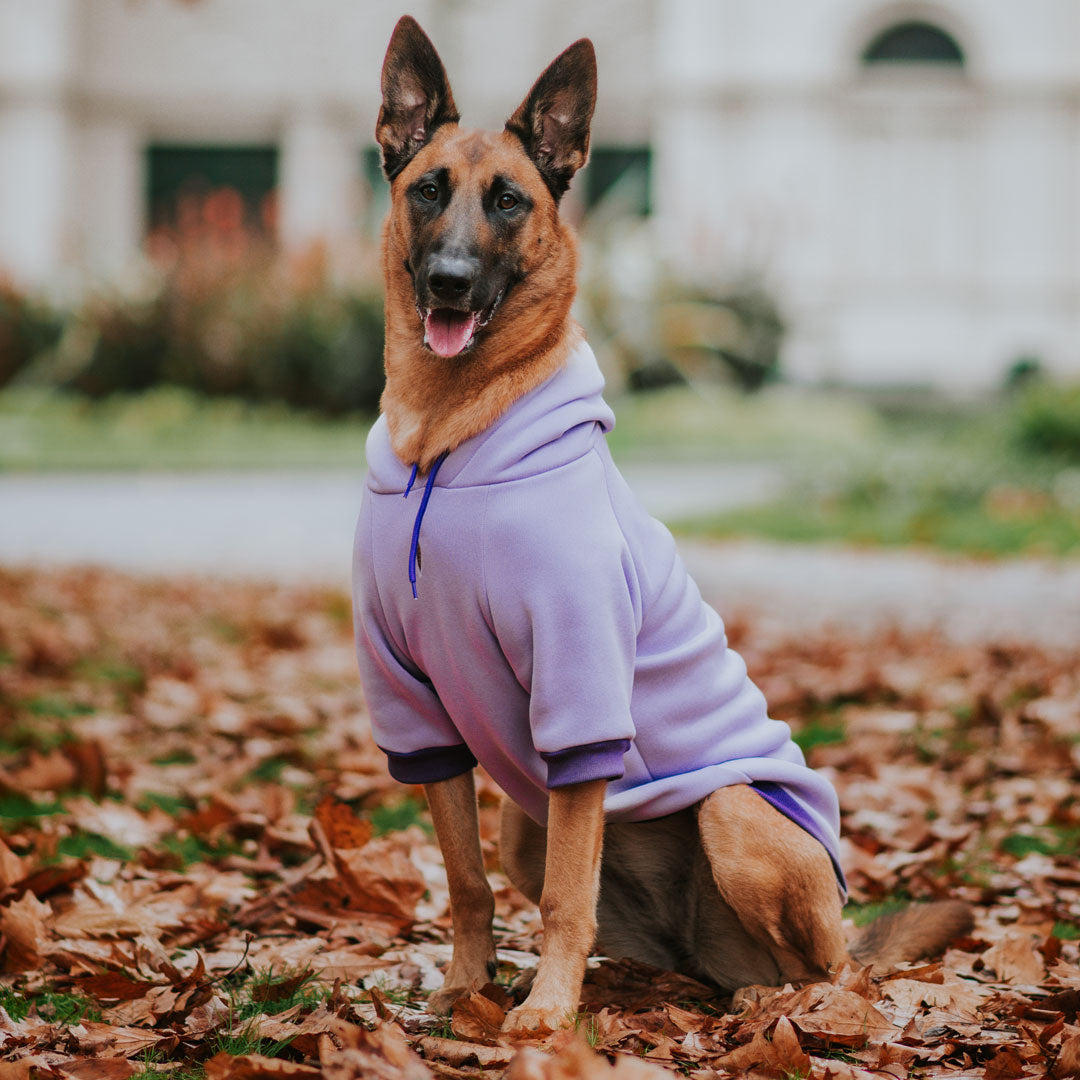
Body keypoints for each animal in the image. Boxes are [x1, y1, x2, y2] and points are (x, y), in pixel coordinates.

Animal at [352, 12, 972, 1032]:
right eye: (429, 189)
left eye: (510, 202)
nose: (447, 282)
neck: (450, 437)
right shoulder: (416, 707)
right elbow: (467, 881)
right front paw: (467, 989)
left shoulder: (580, 693)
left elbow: (567, 898)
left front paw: (544, 1014)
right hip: (529, 821)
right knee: (659, 946)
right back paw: (659, 986)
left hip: (731, 813)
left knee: (827, 971)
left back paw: (772, 999)